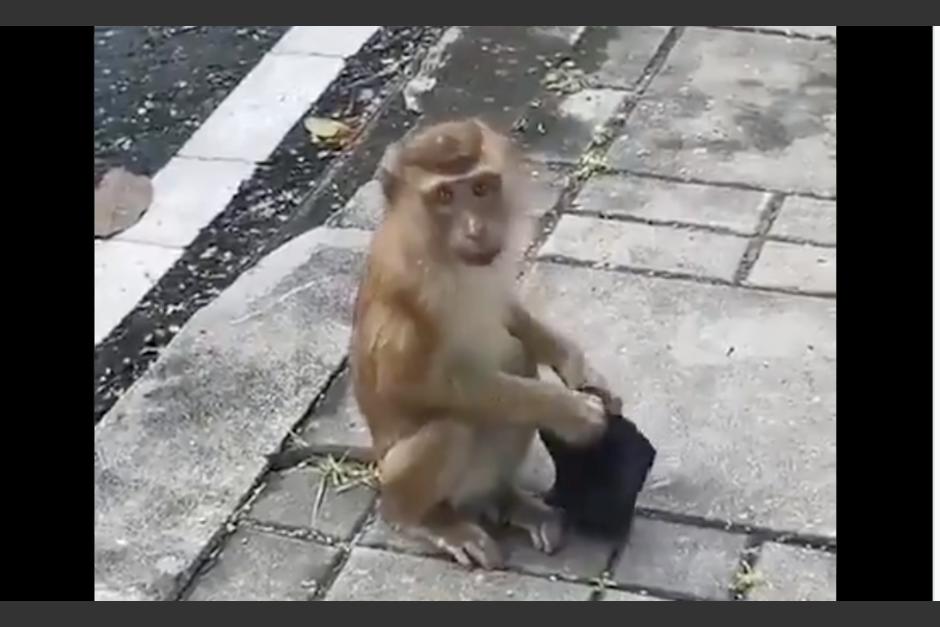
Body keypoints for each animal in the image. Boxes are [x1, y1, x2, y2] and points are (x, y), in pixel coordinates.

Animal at [350, 118, 622, 569]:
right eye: (444, 196)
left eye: (480, 188)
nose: (476, 229)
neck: (443, 258)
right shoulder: (406, 293)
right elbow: (414, 382)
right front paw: (571, 412)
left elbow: (509, 315)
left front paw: (576, 366)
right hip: (401, 478)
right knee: (451, 427)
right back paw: (424, 520)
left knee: (516, 357)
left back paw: (505, 500)